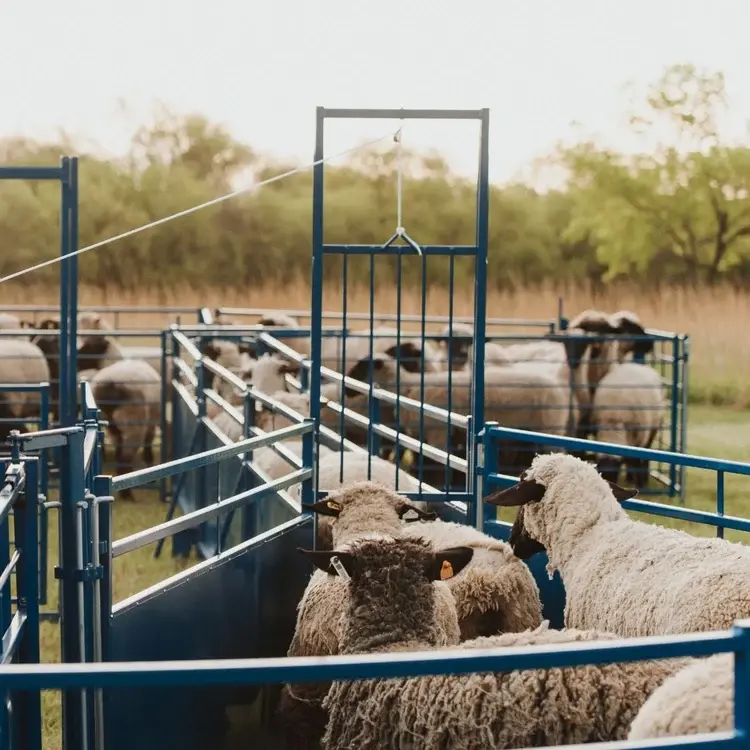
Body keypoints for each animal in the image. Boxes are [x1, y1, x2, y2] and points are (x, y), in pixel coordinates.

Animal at [90, 358, 161, 500]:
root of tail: (110, 383)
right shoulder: (150, 426)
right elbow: (148, 451)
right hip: (134, 425)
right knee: (125, 458)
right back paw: (126, 494)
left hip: (110, 425)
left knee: (118, 453)